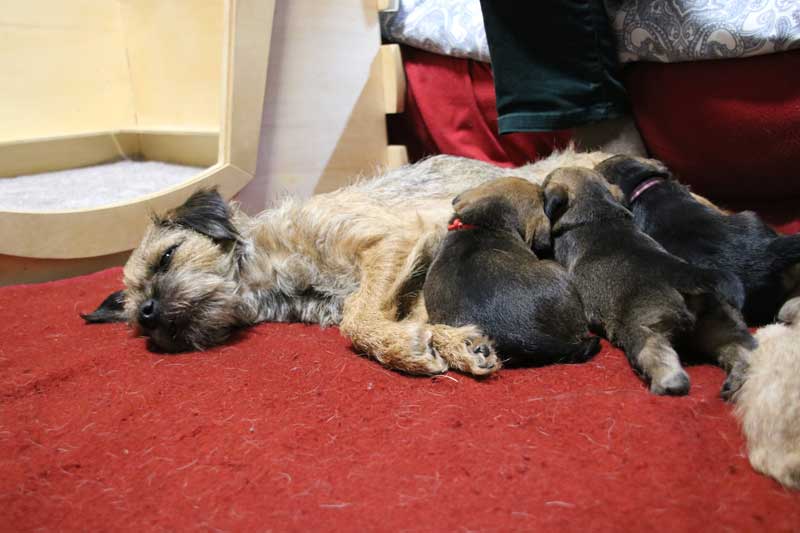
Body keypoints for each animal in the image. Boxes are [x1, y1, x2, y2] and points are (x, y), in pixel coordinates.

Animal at [541, 167, 756, 398]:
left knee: (660, 359)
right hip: (718, 321)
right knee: (739, 348)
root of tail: (687, 275)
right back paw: (737, 382)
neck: (598, 211)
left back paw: (665, 385)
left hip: (644, 328)